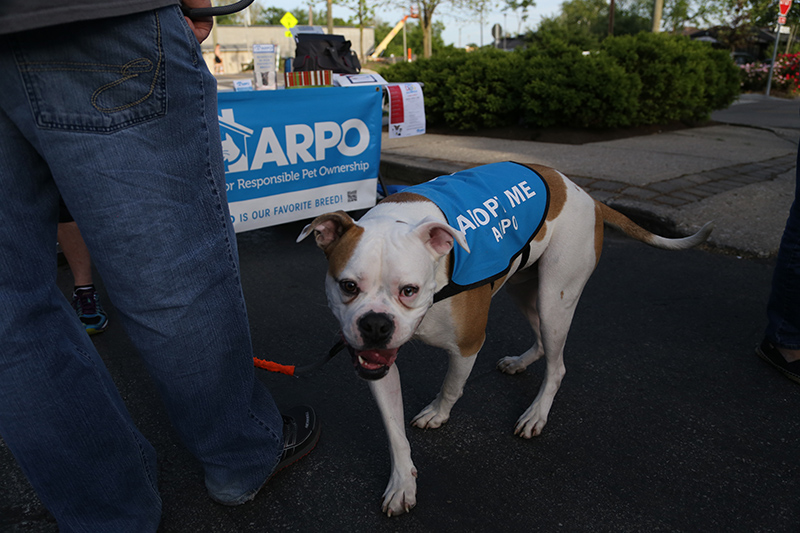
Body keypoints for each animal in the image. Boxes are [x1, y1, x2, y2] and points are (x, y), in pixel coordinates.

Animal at [296, 160, 708, 512]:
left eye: (408, 290)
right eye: (348, 286)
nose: (376, 325)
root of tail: (585, 194)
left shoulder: (467, 345)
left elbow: (452, 386)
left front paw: (438, 413)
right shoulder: (378, 366)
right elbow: (394, 431)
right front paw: (402, 484)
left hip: (556, 298)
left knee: (557, 365)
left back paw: (536, 414)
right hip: (525, 290)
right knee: (541, 339)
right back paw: (520, 362)